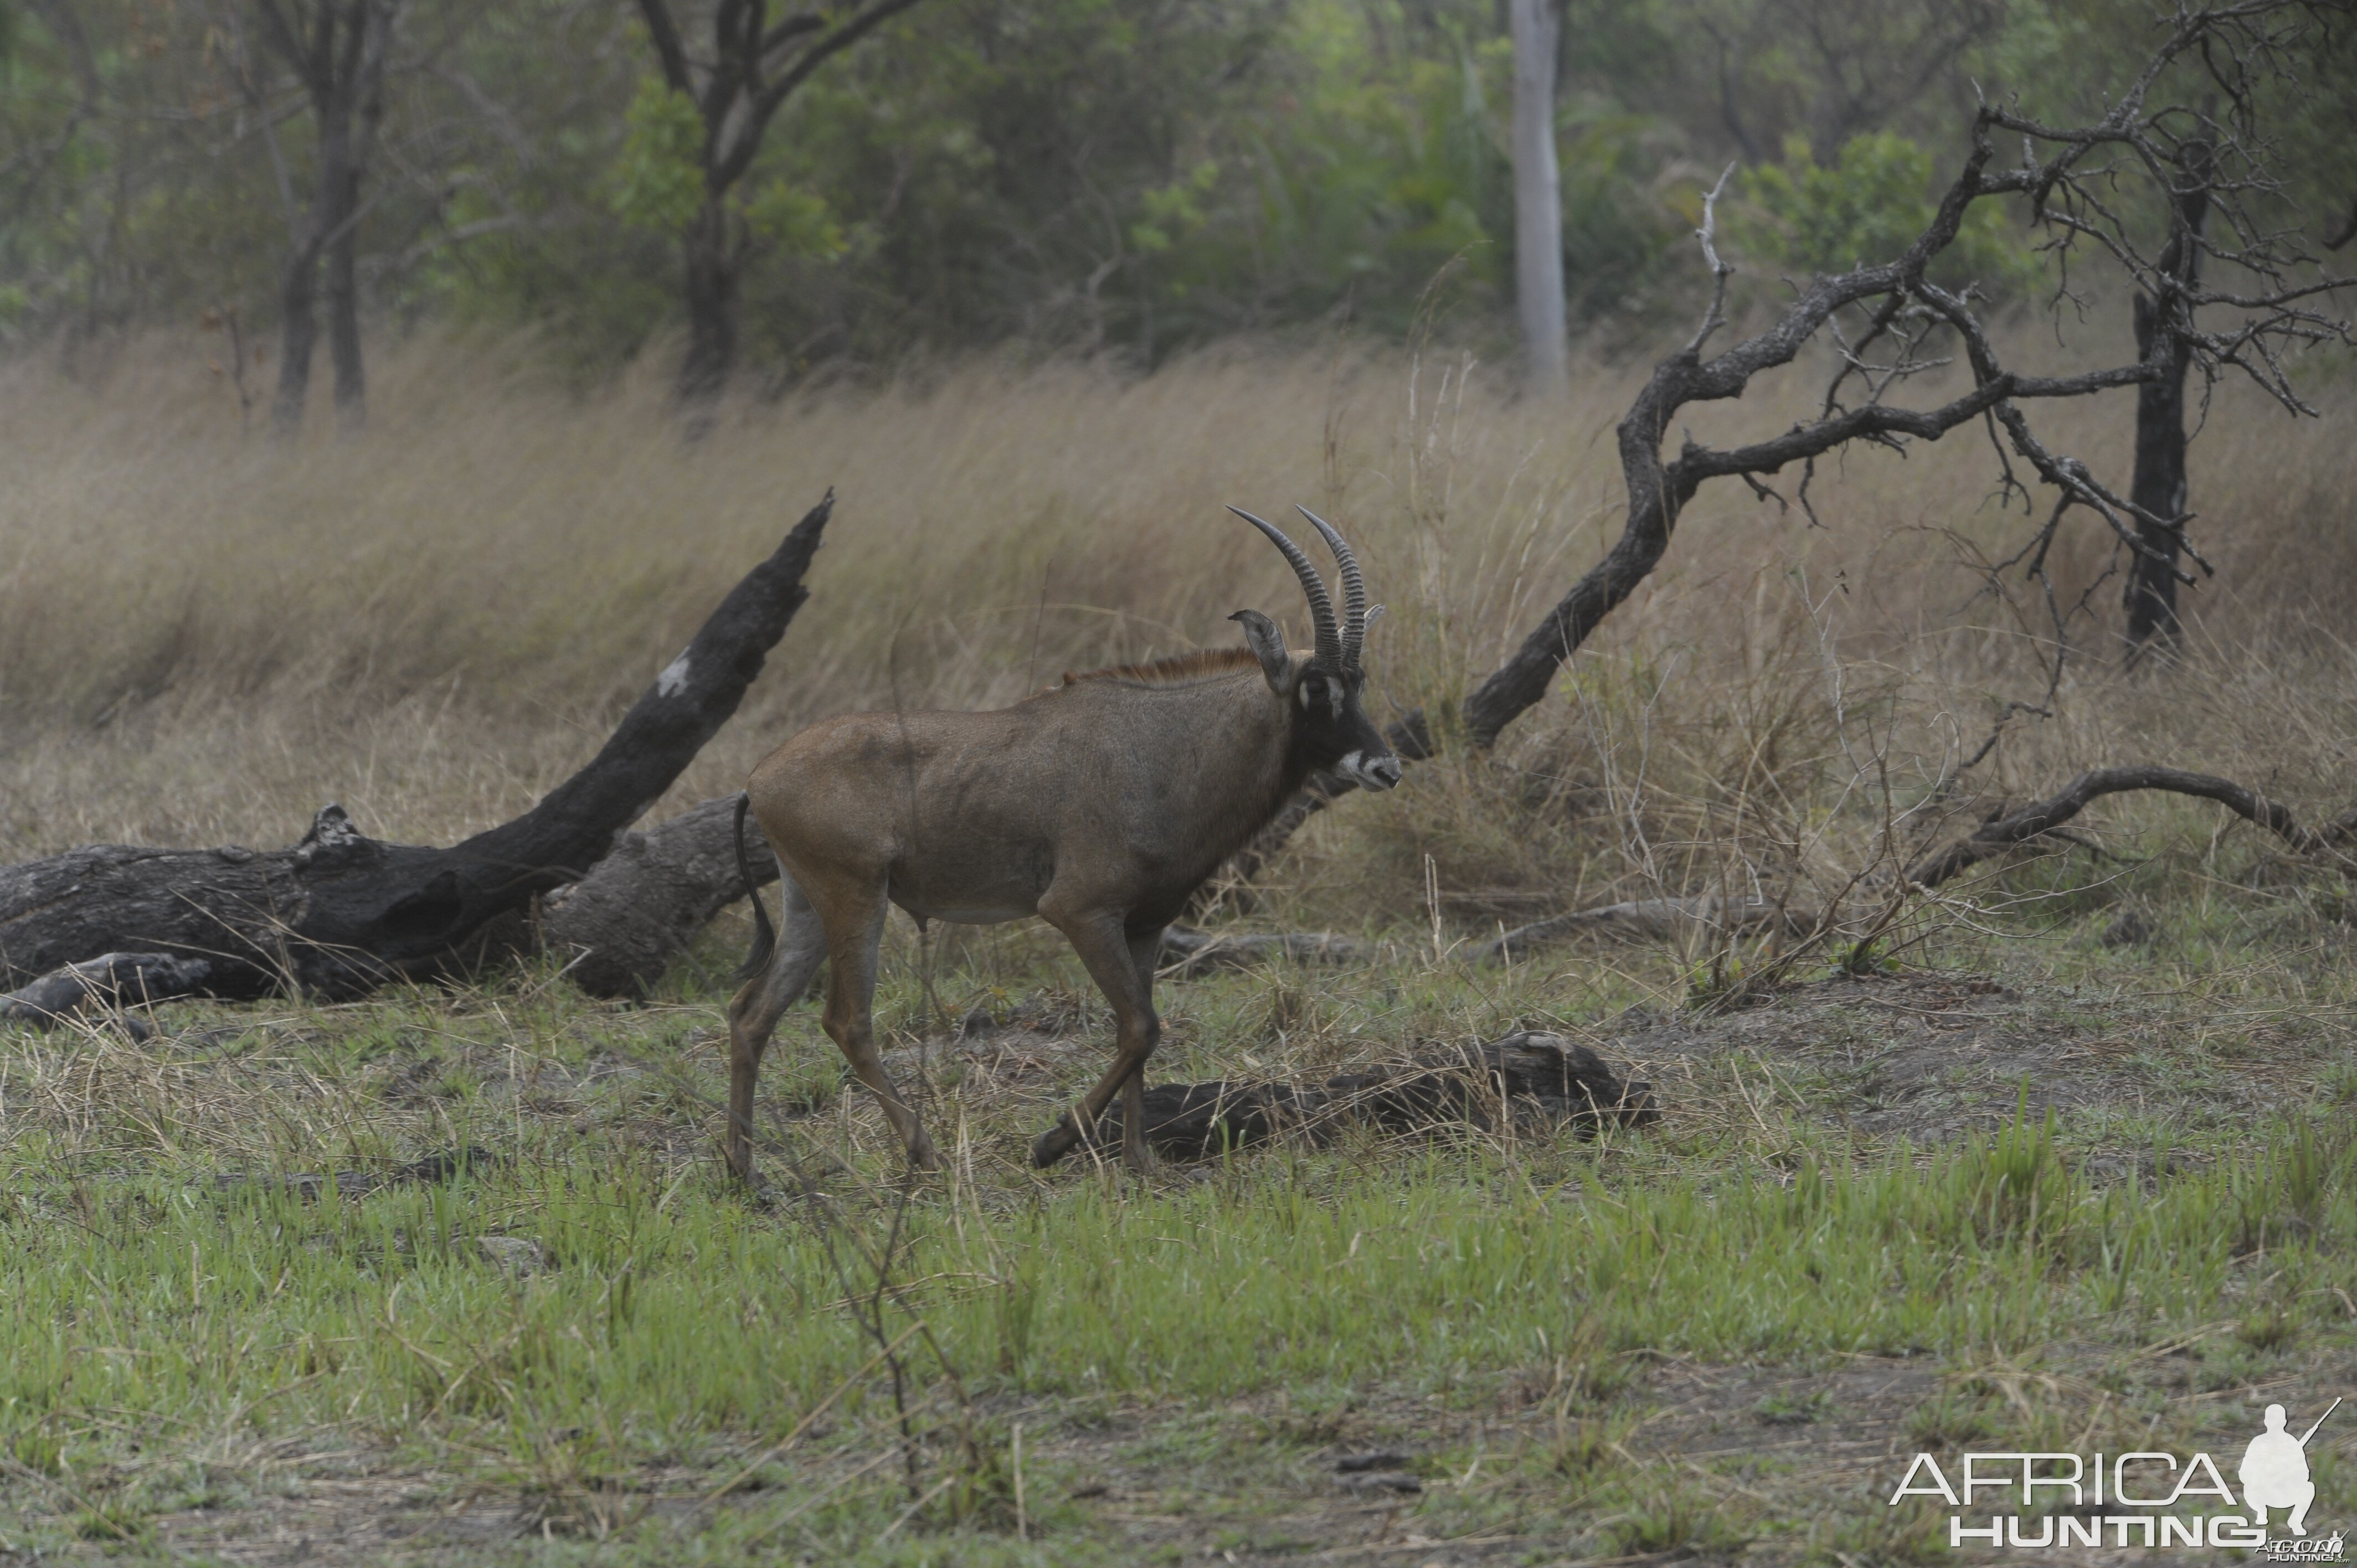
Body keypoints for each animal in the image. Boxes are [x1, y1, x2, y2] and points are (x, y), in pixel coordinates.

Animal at [721, 507, 1395, 1179]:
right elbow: (1141, 1027)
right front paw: (1052, 1143)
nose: (1385, 768)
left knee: (752, 1012)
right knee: (847, 1020)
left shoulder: (1145, 925)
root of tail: (759, 779)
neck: (1167, 748)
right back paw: (923, 1152)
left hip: (810, 904)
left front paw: (1138, 1163)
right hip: (856, 899)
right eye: (1316, 687)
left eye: (1360, 681)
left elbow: (1140, 1031)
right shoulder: (1079, 911)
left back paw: (744, 1171)